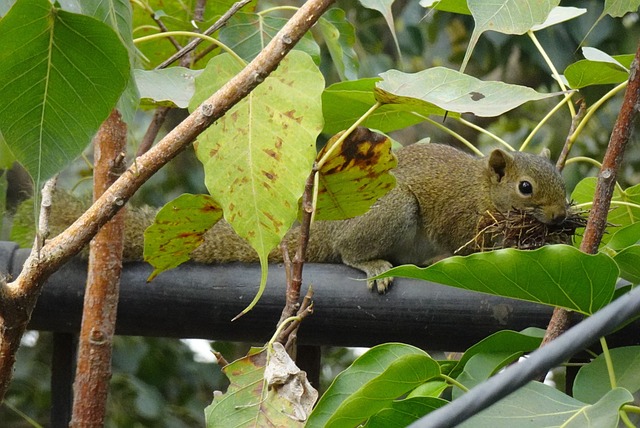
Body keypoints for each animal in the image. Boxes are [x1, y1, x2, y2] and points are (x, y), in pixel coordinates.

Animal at [48, 139, 564, 292]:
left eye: (561, 177)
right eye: (526, 188)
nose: (560, 215)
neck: (485, 190)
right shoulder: (461, 217)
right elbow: (468, 246)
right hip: (393, 210)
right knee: (346, 251)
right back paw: (372, 264)